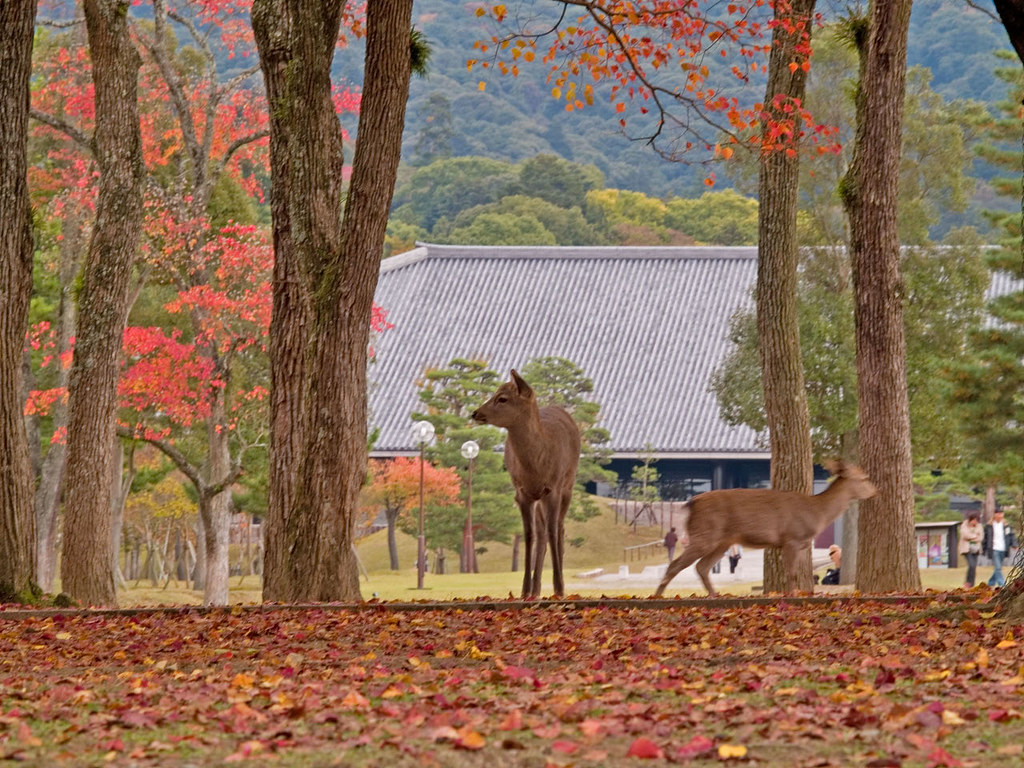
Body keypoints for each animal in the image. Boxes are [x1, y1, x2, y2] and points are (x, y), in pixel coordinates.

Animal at [468, 370, 577, 598]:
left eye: (502, 398)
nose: (475, 413)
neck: (536, 467)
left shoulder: (553, 488)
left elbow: (553, 531)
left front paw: (559, 586)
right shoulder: (522, 493)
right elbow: (529, 535)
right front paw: (524, 589)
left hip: (568, 484)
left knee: (559, 528)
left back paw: (557, 584)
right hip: (539, 497)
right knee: (542, 532)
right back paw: (536, 589)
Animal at [651, 460, 876, 598]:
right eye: (864, 478)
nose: (876, 490)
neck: (817, 513)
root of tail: (691, 504)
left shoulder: (798, 544)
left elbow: (797, 572)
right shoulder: (792, 538)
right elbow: (791, 573)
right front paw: (792, 594)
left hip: (722, 541)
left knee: (702, 567)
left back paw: (713, 594)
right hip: (705, 533)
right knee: (676, 564)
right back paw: (657, 595)